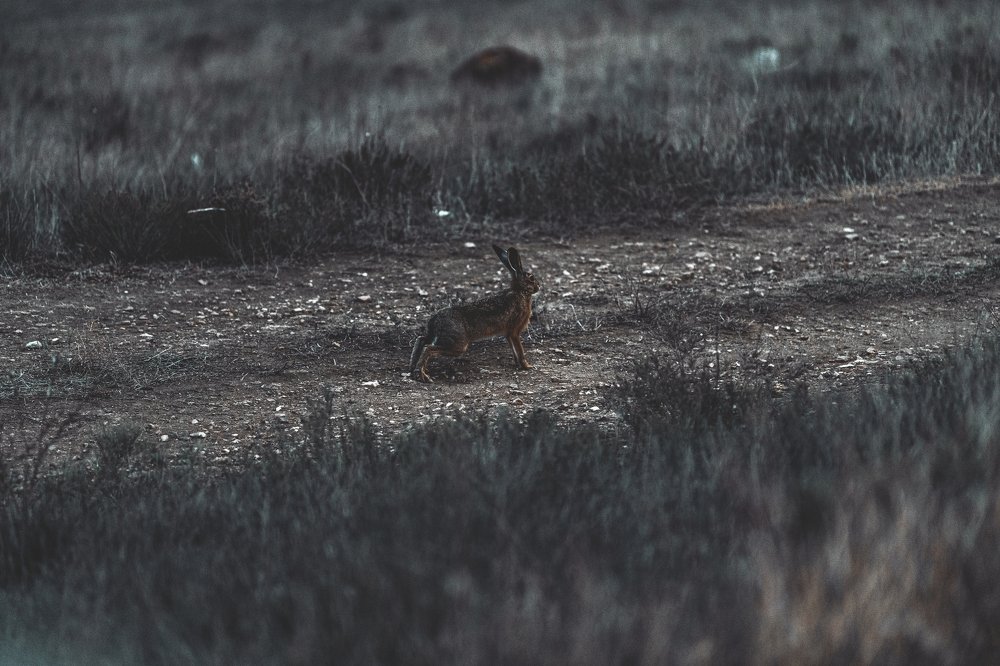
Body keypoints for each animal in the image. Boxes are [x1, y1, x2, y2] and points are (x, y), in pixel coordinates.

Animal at [410, 245, 540, 382]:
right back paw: (423, 375)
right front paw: (527, 366)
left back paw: (413, 367)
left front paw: (517, 364)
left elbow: (514, 350)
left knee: (421, 339)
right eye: (531, 278)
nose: (539, 286)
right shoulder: (514, 331)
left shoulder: (509, 334)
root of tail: (434, 321)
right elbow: (519, 350)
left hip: (443, 339)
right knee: (428, 348)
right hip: (457, 344)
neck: (520, 291)